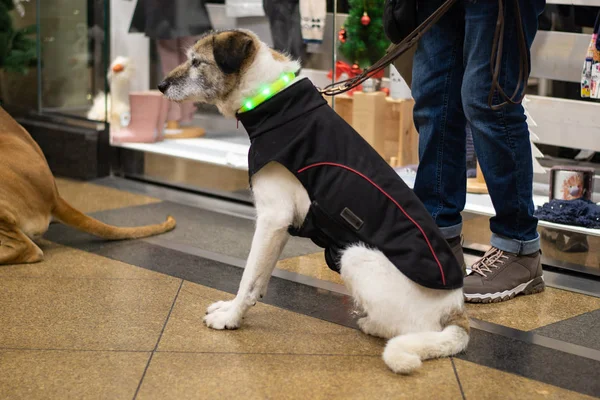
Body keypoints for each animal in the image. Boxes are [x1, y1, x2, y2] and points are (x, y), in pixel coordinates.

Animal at [159, 29, 468, 374]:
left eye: (197, 62)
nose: (160, 85)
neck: (271, 99)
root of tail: (455, 311)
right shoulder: (279, 228)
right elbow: (259, 278)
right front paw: (238, 306)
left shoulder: (272, 219)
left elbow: (248, 276)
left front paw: (231, 317)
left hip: (354, 256)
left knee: (408, 329)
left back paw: (374, 326)